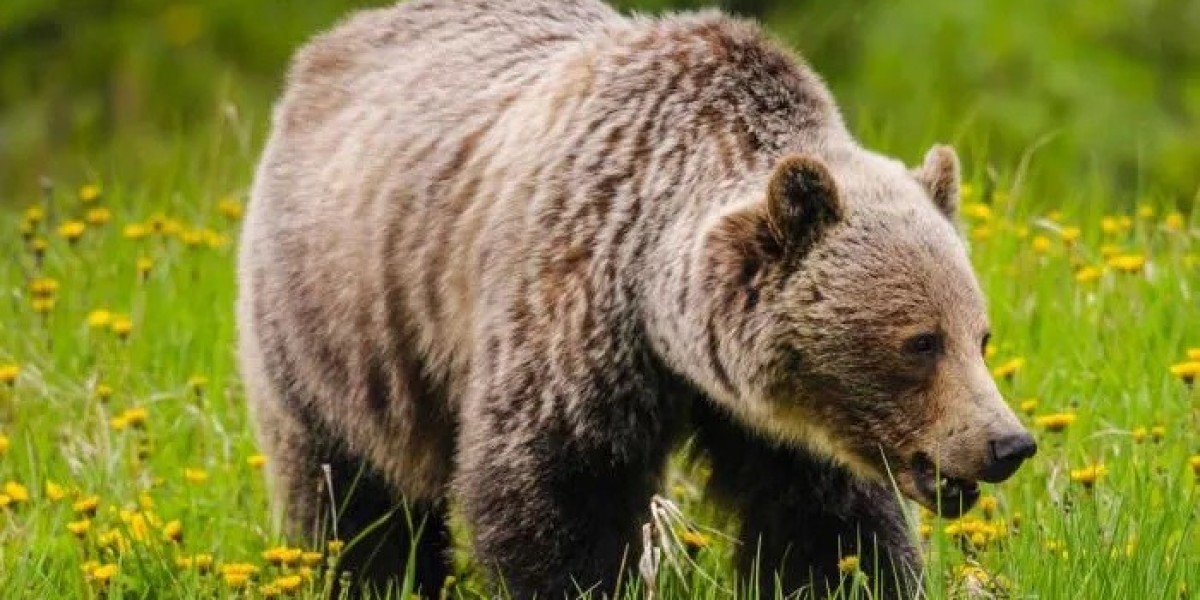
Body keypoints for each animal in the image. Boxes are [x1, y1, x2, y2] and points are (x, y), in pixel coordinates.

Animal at [236, 0, 1037, 598]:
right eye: (920, 342)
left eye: (982, 336)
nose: (1007, 443)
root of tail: (326, 47)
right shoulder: (572, 307)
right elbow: (558, 492)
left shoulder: (776, 422)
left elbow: (825, 525)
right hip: (341, 317)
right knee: (350, 490)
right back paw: (365, 574)